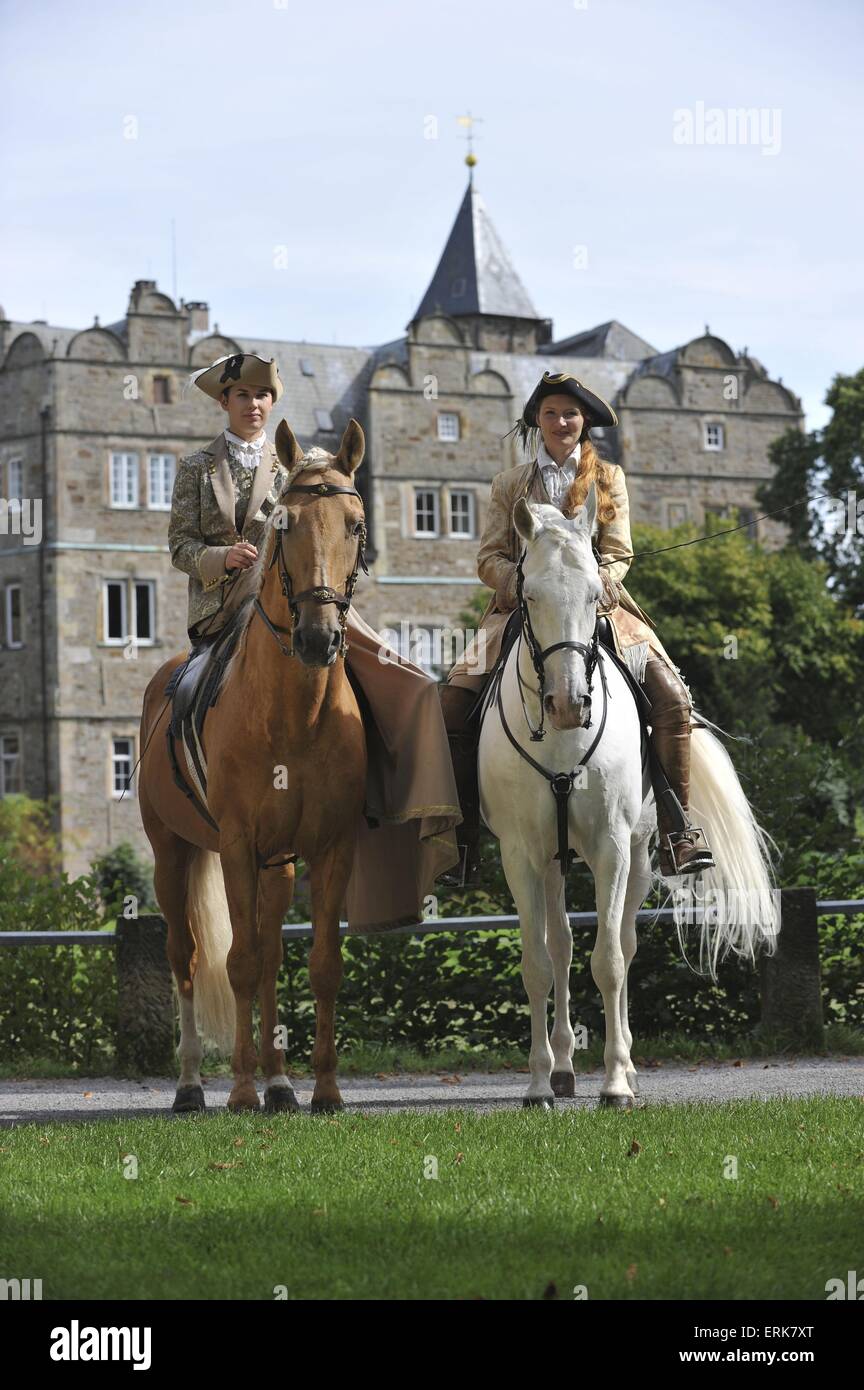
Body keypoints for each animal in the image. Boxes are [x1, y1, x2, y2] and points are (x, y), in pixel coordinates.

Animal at [141, 417, 369, 1112]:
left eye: (356, 524)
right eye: (285, 525)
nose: (318, 638)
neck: (296, 712)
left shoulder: (329, 848)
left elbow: (319, 965)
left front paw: (324, 1088)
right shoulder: (237, 847)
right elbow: (237, 963)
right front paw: (239, 1089)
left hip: (279, 865)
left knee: (268, 956)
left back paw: (280, 1082)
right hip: (172, 852)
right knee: (186, 956)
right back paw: (193, 1084)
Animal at [480, 486, 777, 1106]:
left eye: (597, 595)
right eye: (529, 594)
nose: (569, 703)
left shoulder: (612, 849)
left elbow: (611, 960)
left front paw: (616, 1082)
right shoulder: (521, 855)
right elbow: (537, 963)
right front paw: (538, 1083)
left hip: (640, 855)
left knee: (623, 940)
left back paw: (628, 1068)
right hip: (553, 862)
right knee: (561, 947)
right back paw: (563, 1068)